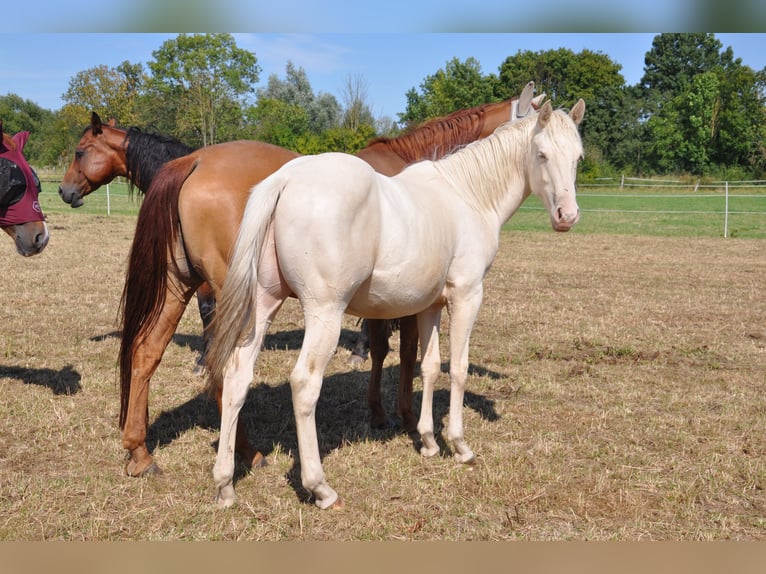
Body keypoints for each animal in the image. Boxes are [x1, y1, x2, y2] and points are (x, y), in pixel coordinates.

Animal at [118, 83, 544, 479]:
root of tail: (194, 159)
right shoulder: (410, 297)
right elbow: (403, 352)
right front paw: (401, 416)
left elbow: (383, 349)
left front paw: (380, 410)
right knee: (223, 365)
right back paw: (248, 453)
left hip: (178, 285)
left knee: (146, 350)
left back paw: (140, 451)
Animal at [205, 99, 586, 509]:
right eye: (541, 154)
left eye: (578, 157)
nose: (567, 216)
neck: (467, 194)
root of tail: (285, 179)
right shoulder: (467, 296)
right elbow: (458, 369)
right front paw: (460, 446)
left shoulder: (431, 305)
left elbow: (430, 366)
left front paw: (429, 441)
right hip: (325, 314)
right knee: (305, 384)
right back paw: (320, 487)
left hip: (264, 304)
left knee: (237, 376)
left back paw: (225, 484)